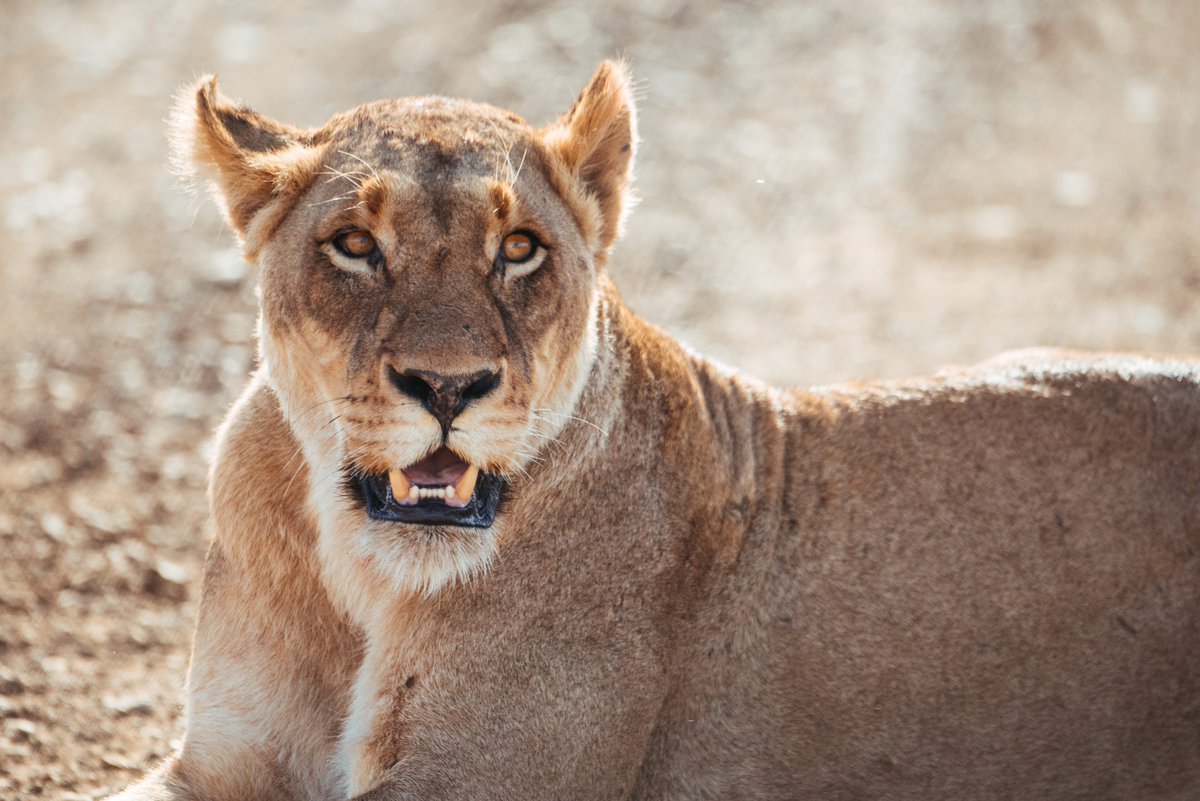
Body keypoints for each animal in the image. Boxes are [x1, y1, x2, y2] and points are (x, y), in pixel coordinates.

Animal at [106, 61, 1200, 801]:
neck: (360, 580)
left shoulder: (473, 777)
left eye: (520, 249)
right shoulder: (220, 757)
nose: (448, 386)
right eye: (353, 245)